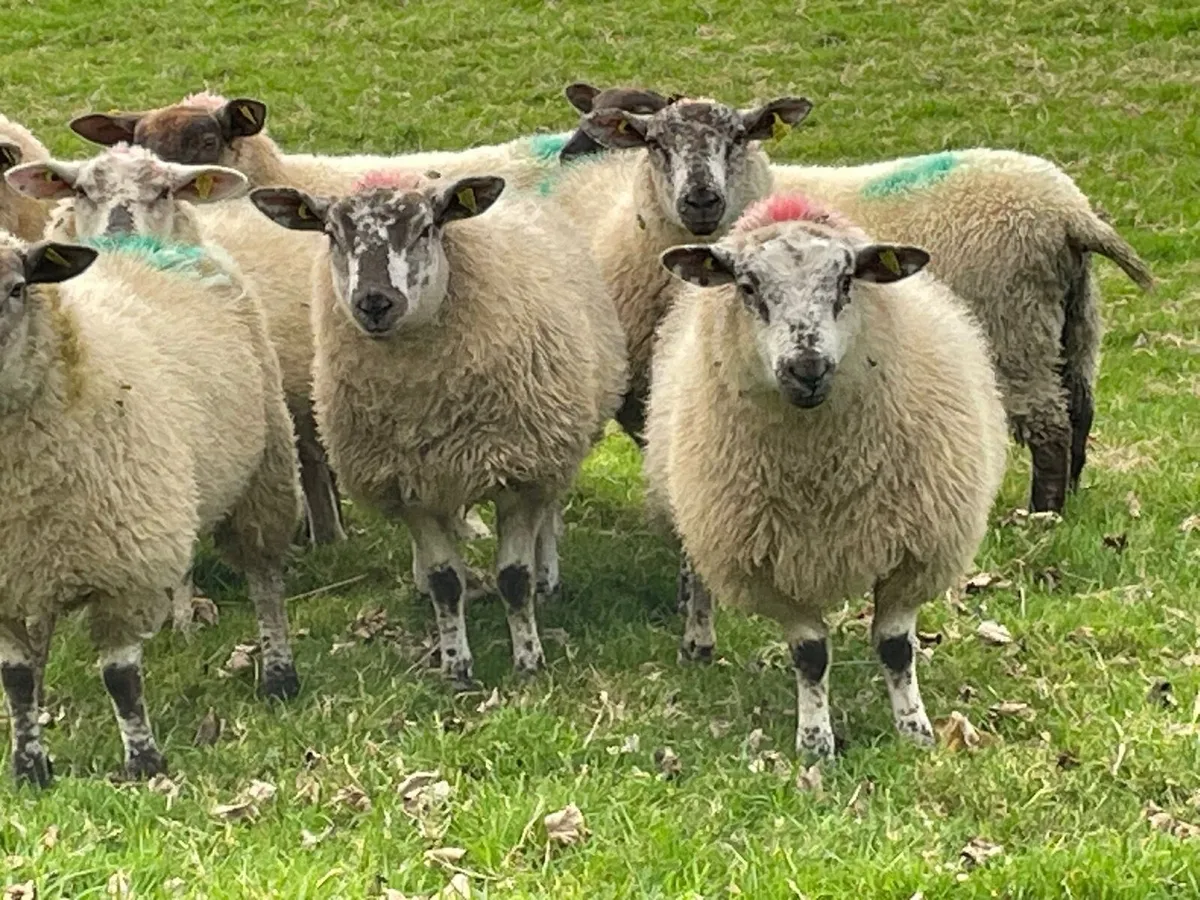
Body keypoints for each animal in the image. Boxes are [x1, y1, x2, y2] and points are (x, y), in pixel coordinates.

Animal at [0, 222, 302, 787]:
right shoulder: (7, 584)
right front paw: (28, 766)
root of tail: (145, 240)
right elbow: (17, 678)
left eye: (16, 288)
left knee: (265, 580)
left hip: (266, 470)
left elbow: (120, 678)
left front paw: (143, 762)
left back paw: (279, 675)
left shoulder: (127, 571)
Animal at [249, 170, 627, 687]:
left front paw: (528, 660)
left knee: (549, 511)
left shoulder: (520, 472)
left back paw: (548, 574)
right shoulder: (410, 486)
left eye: (426, 228)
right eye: (331, 233)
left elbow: (514, 577)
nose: (374, 302)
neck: (425, 404)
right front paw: (456, 665)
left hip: (557, 441)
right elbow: (445, 580)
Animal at [645, 195, 1008, 756]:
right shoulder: (767, 566)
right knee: (698, 573)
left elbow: (896, 647)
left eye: (844, 282)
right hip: (694, 507)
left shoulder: (917, 552)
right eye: (747, 287)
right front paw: (816, 741)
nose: (807, 368)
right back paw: (699, 641)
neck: (824, 475)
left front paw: (915, 730)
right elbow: (811, 655)